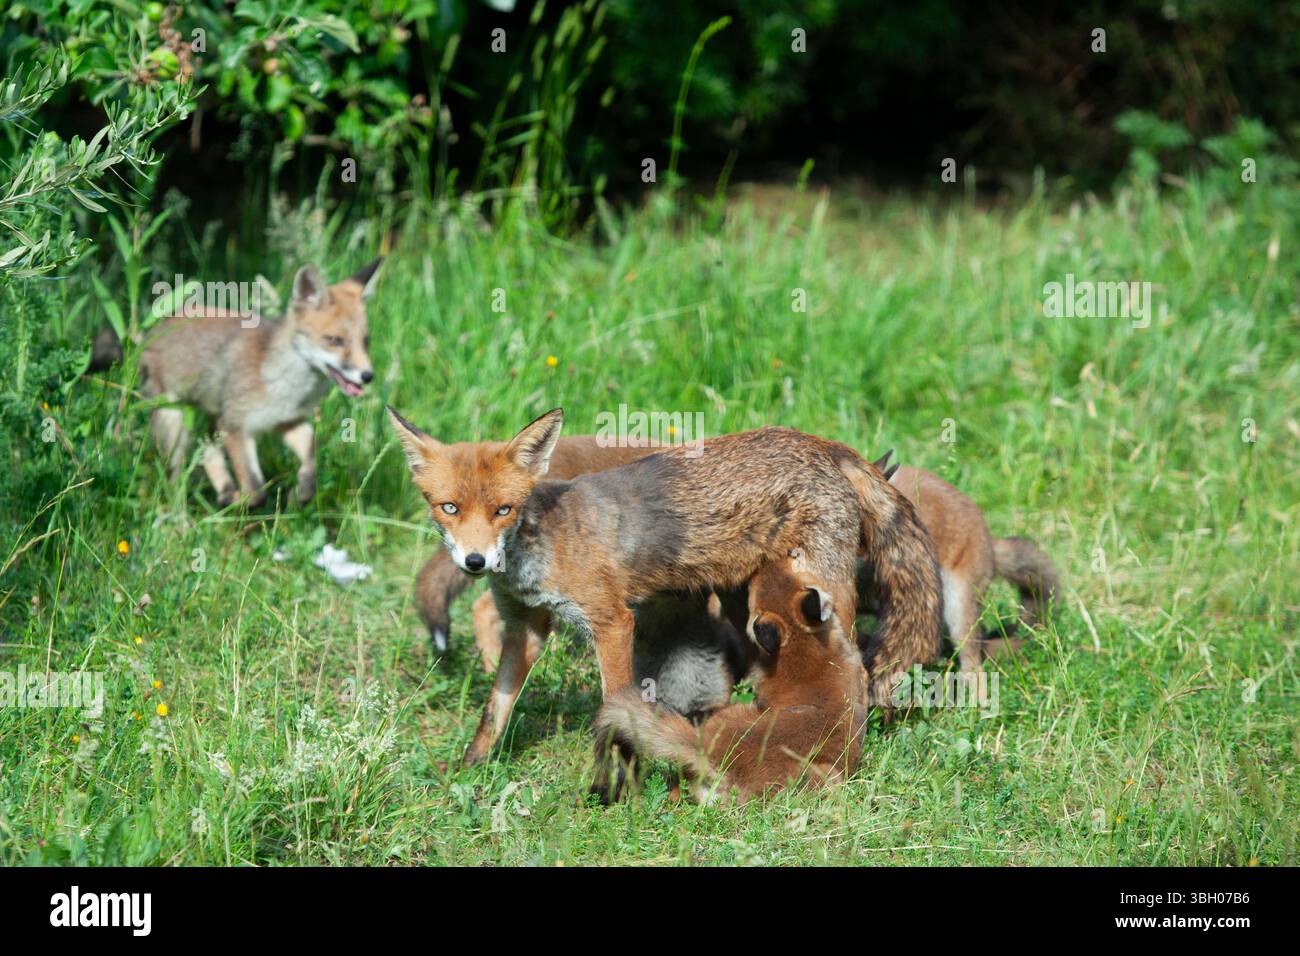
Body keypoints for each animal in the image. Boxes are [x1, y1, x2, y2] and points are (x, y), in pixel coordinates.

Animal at [138, 258, 382, 506]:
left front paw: (300, 492)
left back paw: (223, 490)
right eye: (335, 340)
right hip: (174, 423)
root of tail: (155, 328)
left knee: (206, 450)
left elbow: (310, 451)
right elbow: (255, 489)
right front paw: (240, 501)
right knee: (174, 481)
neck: (287, 387)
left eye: (365, 341)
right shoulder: (236, 428)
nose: (368, 376)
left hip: (214, 417)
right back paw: (182, 512)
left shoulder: (287, 421)